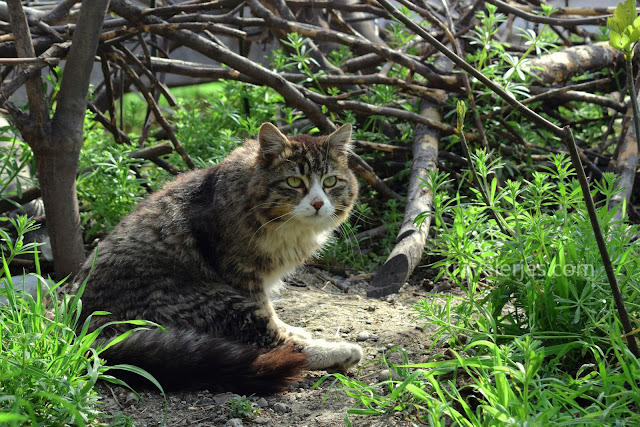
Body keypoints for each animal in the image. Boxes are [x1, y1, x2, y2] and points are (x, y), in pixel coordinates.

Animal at [74, 122, 363, 394]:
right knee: (276, 346)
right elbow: (269, 317)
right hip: (217, 302)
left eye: (330, 182)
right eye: (294, 182)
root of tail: (82, 332)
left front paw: (291, 326)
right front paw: (298, 335)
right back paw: (339, 351)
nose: (317, 204)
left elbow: (272, 311)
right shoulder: (242, 274)